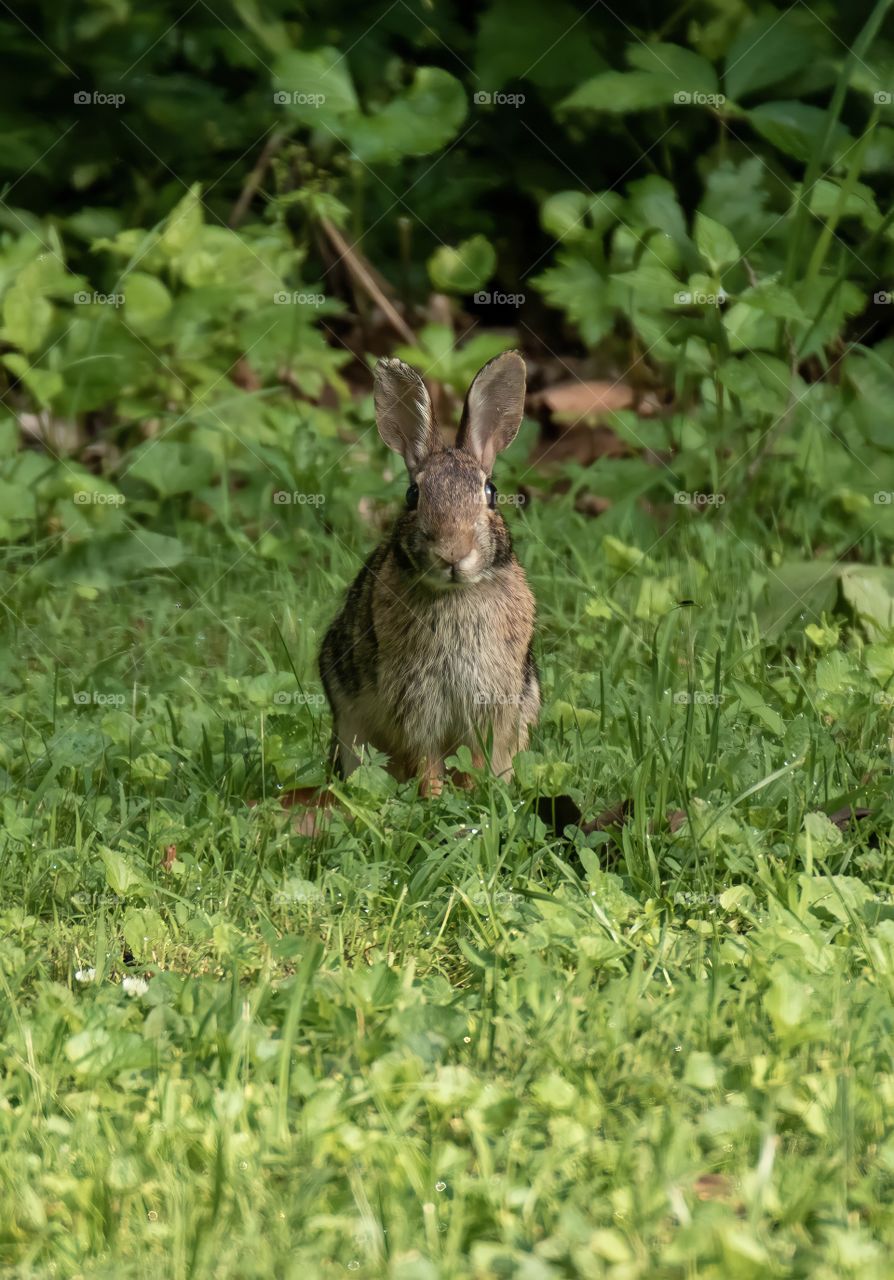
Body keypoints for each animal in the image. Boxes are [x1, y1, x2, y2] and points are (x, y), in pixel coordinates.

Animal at [319, 350, 539, 796]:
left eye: (490, 493)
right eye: (412, 494)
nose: (453, 553)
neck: (456, 595)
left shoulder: (489, 703)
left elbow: (476, 757)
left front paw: (474, 794)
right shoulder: (416, 707)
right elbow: (426, 760)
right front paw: (436, 798)